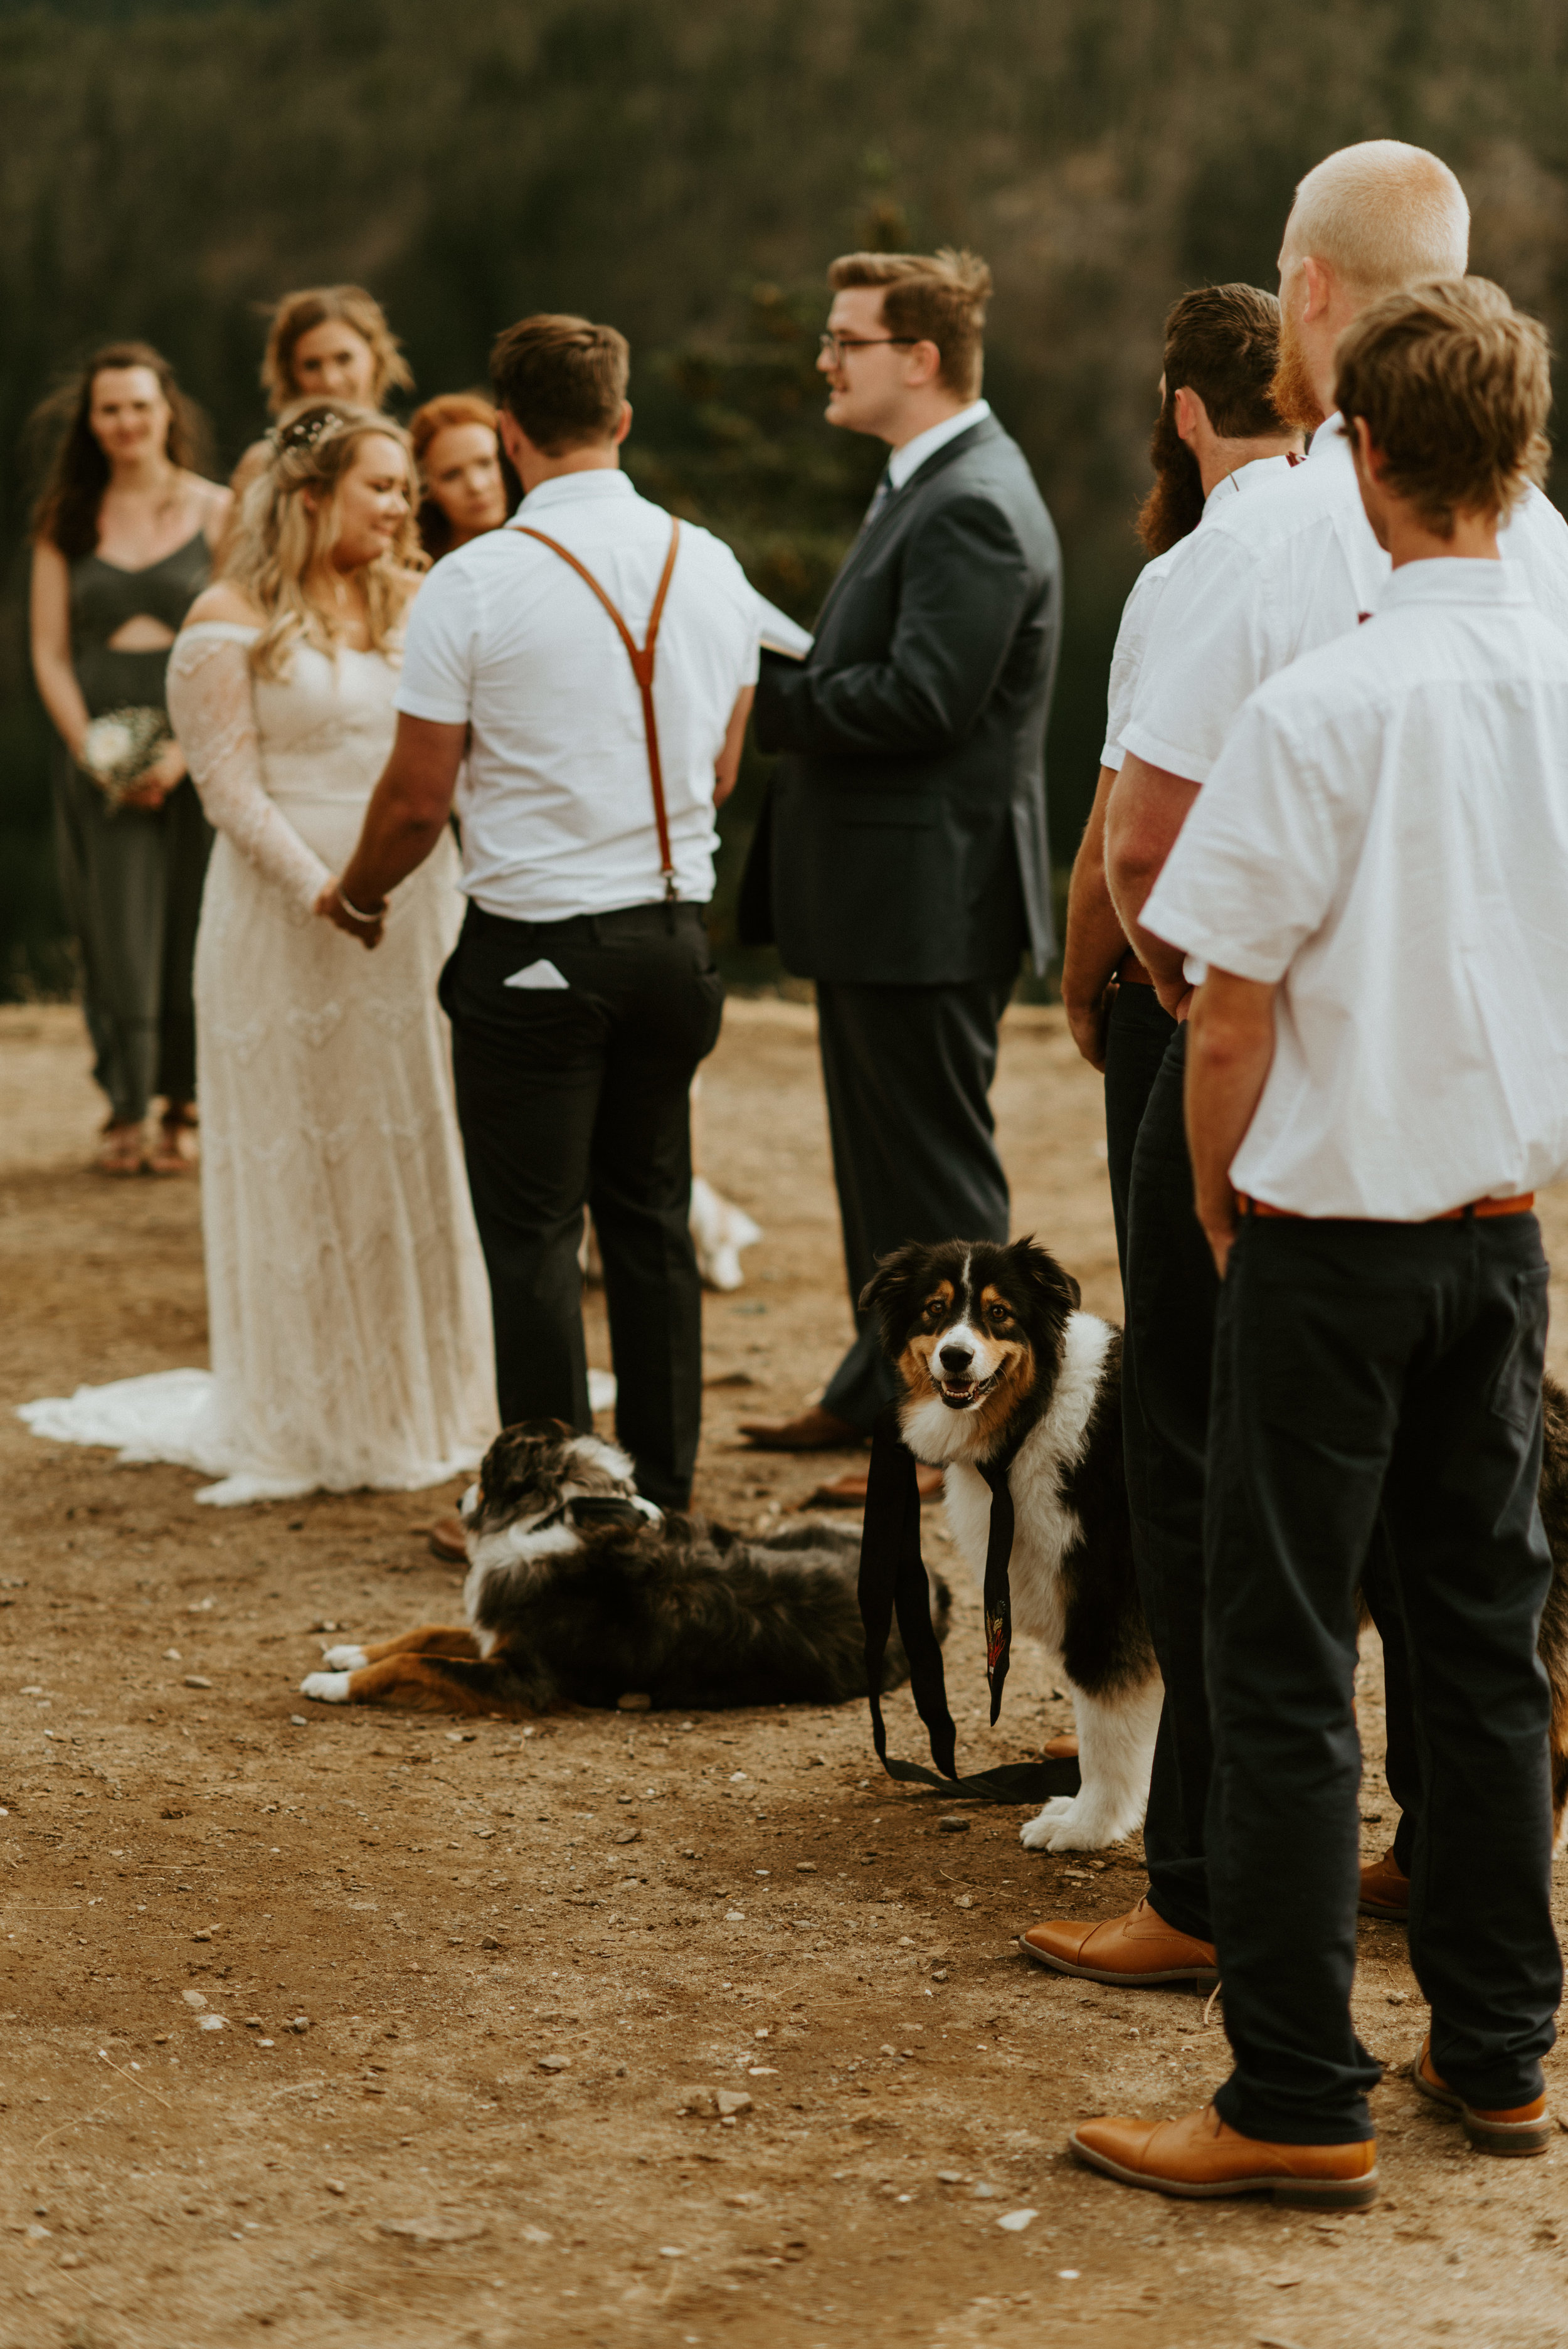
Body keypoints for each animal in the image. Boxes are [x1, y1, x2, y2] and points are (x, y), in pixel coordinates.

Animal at [300, 1409, 948, 1729]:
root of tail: (935, 1587)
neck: (555, 1515)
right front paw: (349, 1652)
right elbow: (426, 1632)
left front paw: (335, 1685)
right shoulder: (497, 1634)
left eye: (483, 1472)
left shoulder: (524, 1679)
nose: (457, 1501)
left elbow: (419, 1661)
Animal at [864, 1240, 1159, 1860]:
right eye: (934, 1309)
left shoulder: (1105, 1608)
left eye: (999, 1313)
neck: (1034, 1416)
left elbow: (1106, 1736)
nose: (955, 1356)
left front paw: (1086, 1825)